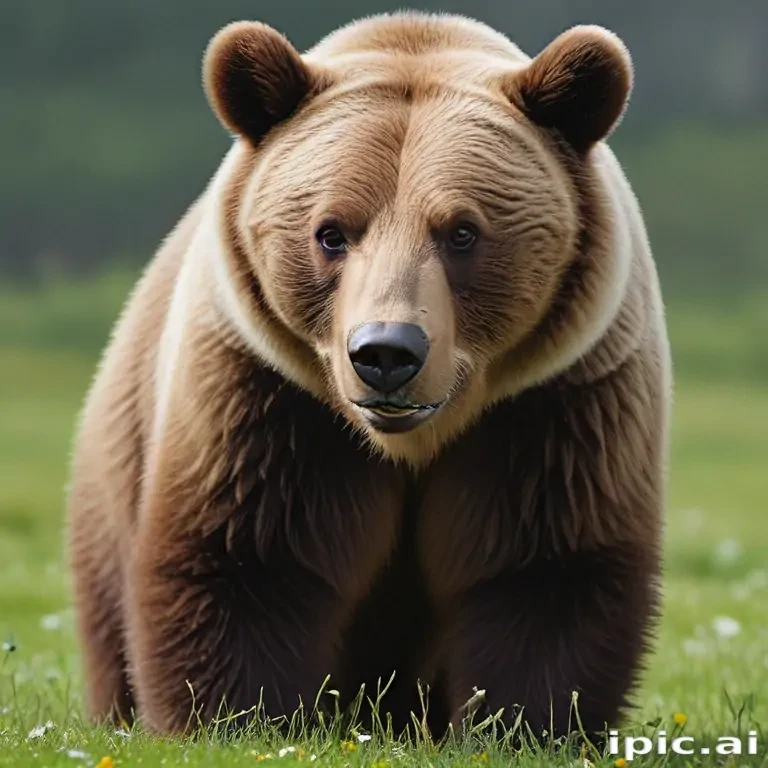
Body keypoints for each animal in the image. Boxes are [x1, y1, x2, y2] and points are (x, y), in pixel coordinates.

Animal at [67, 11, 671, 741]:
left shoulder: (558, 399)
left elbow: (541, 568)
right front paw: (233, 719)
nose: (386, 352)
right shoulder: (266, 395)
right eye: (330, 232)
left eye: (462, 231)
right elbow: (250, 557)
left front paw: (523, 725)